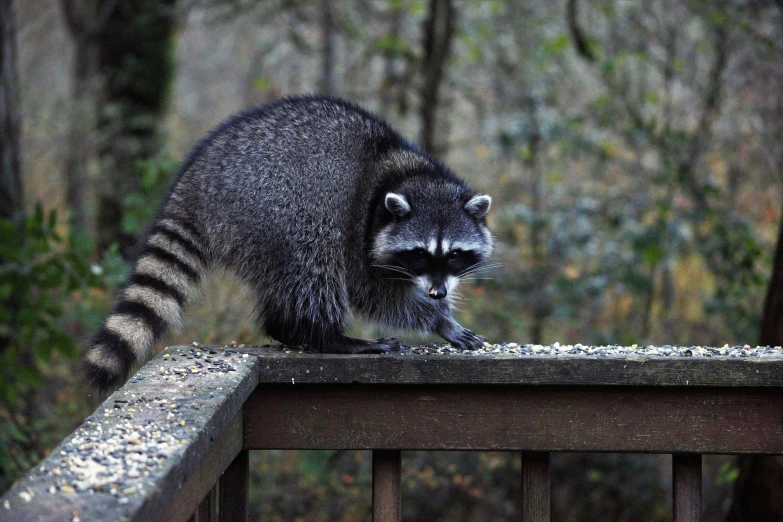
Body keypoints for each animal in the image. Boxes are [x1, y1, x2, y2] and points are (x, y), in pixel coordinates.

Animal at [82, 96, 494, 386]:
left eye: (454, 255)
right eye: (420, 254)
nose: (438, 293)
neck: (412, 176)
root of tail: (196, 179)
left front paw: (441, 310)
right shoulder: (360, 230)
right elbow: (372, 293)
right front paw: (436, 319)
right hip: (278, 207)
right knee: (313, 262)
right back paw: (325, 336)